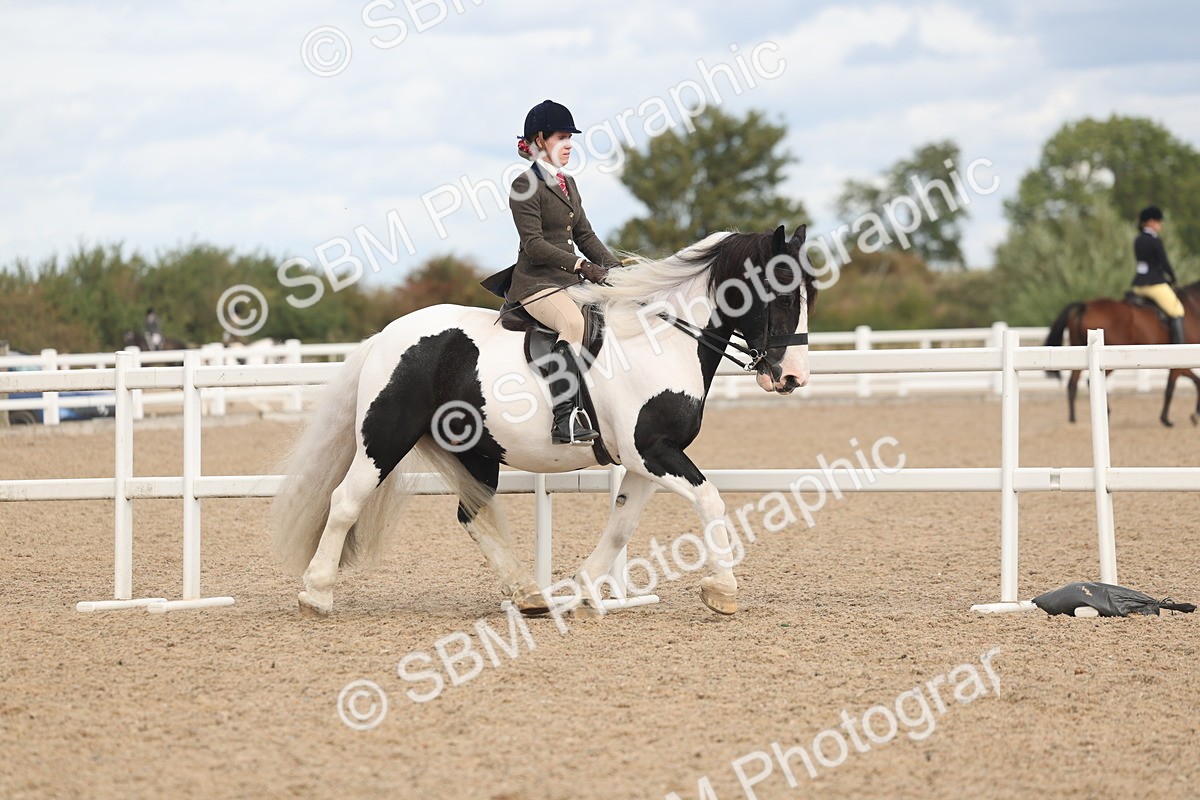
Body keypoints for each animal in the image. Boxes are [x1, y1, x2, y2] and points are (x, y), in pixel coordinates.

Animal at [271, 225, 815, 617]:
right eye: (785, 294)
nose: (793, 376)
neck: (661, 340)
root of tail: (384, 336)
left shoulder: (647, 460)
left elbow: (621, 526)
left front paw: (582, 591)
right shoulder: (653, 452)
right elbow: (710, 500)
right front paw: (722, 590)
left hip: (475, 451)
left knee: (471, 515)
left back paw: (529, 595)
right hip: (384, 438)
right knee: (345, 501)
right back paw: (316, 594)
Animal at [1044, 281, 1200, 427]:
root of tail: (1085, 306)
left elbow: (1194, 381)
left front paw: (1193, 414)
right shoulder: (1180, 360)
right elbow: (1172, 387)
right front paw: (1167, 419)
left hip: (1076, 353)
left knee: (1072, 384)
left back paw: (1073, 420)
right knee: (1088, 382)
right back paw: (1105, 413)